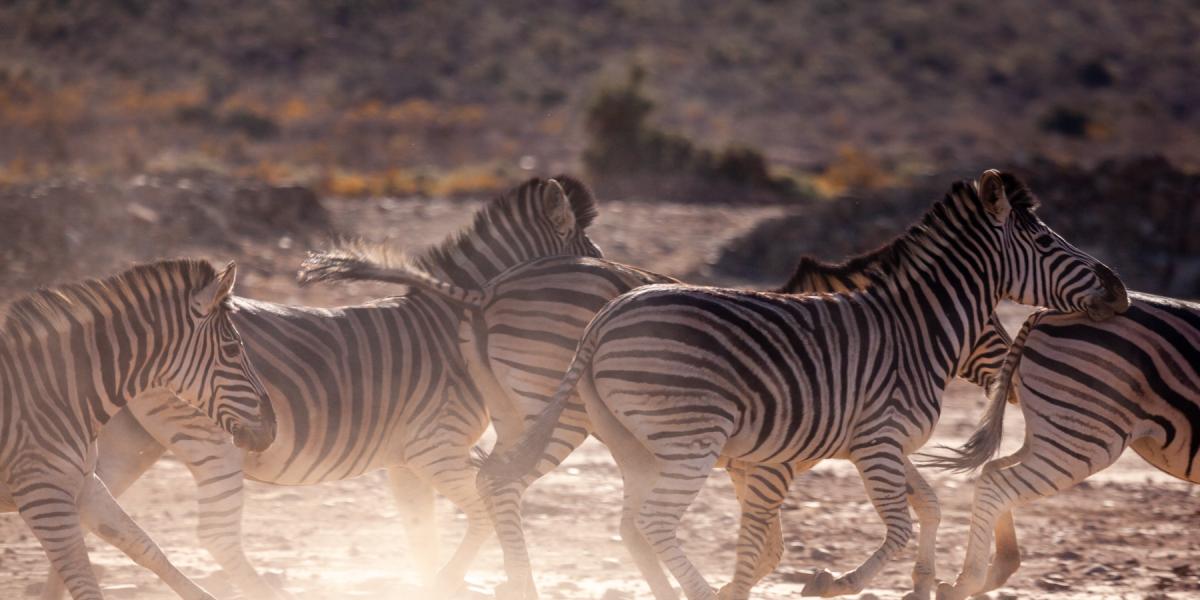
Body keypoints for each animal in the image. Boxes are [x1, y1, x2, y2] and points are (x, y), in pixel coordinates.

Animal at [0, 259, 275, 600]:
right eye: (234, 349)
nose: (273, 427)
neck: (56, 393)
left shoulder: (84, 485)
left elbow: (145, 546)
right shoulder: (43, 495)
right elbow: (85, 581)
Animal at [36, 177, 603, 600]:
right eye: (592, 256)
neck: (452, 322)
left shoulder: (405, 461)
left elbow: (422, 537)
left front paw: (432, 581)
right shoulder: (434, 447)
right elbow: (486, 514)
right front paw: (449, 582)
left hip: (128, 438)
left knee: (79, 515)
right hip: (214, 438)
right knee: (215, 536)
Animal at [300, 213, 1022, 599]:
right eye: (988, 324)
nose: (1013, 378)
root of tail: (490, 292)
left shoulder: (754, 461)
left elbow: (770, 544)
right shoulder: (766, 463)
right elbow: (762, 545)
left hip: (530, 413)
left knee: (495, 485)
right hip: (561, 415)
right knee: (504, 484)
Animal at [474, 170, 1129, 600]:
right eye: (1044, 240)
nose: (1120, 288)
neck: (913, 330)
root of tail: (607, 317)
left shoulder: (875, 445)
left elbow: (929, 504)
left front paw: (920, 584)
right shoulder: (868, 444)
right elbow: (892, 529)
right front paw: (833, 581)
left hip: (629, 441)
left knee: (623, 521)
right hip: (681, 437)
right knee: (648, 519)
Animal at [923, 292, 1200, 600]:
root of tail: (1044, 311)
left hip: (1052, 429)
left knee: (992, 471)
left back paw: (999, 566)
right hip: (1083, 436)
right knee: (997, 484)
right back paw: (966, 583)